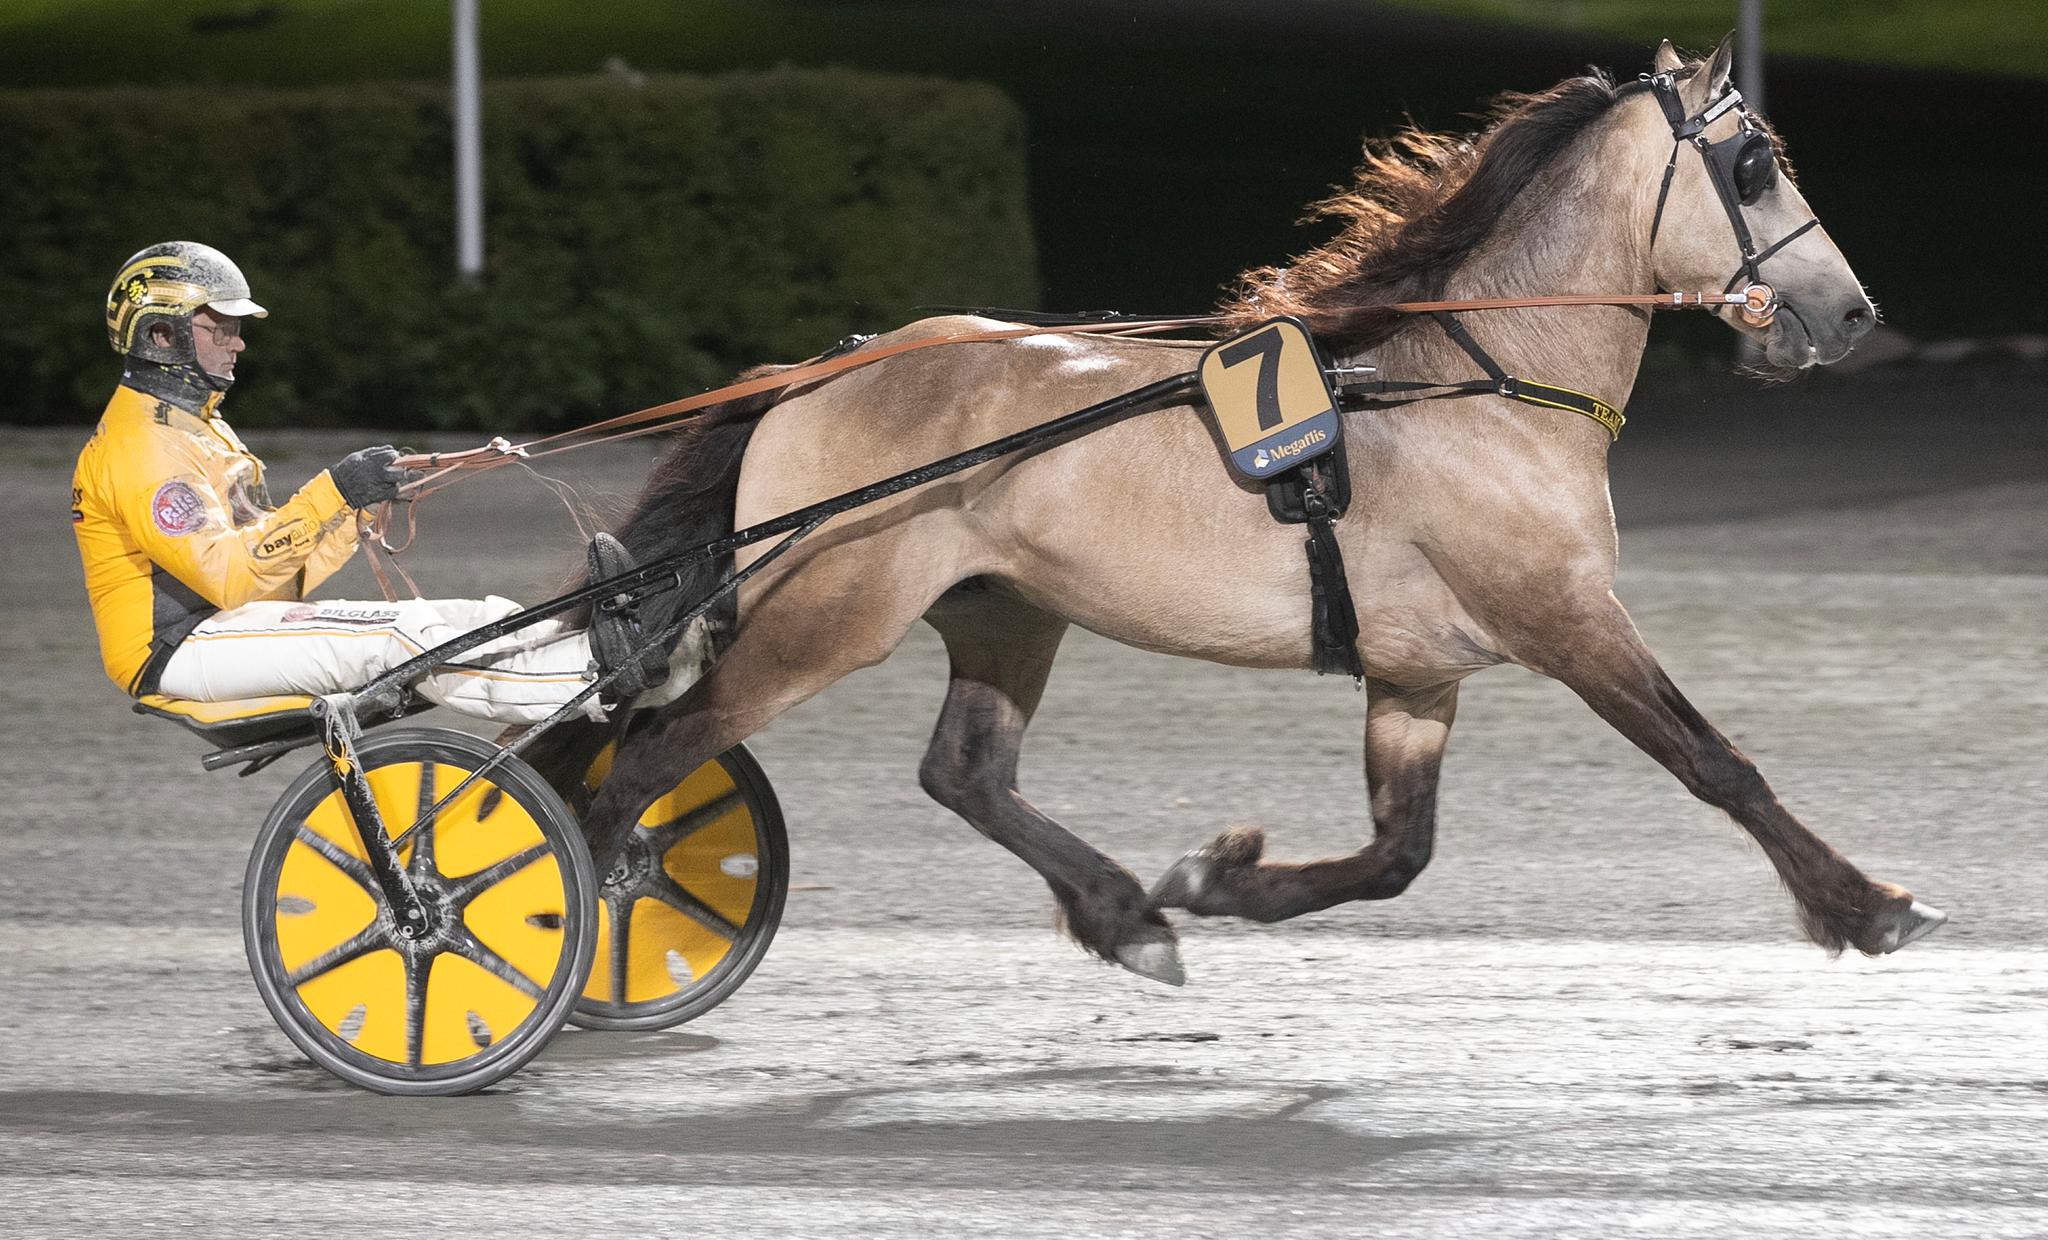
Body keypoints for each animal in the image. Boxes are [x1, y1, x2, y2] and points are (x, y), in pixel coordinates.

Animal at [543, 36, 1945, 987]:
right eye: (1752, 167)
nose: (1852, 312)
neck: (1478, 382)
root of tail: (810, 376)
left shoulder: (1420, 670)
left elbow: (1396, 852)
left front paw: (1215, 880)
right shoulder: (1561, 614)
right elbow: (1714, 761)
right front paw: (1865, 903)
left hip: (1003, 610)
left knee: (962, 770)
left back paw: (1125, 915)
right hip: (827, 615)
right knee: (650, 756)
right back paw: (584, 923)